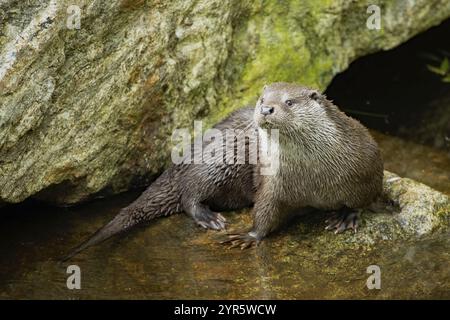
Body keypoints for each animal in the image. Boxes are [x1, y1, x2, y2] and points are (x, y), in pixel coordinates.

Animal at [65, 81, 384, 258]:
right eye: (262, 99)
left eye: (289, 101)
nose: (266, 109)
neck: (313, 177)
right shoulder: (273, 184)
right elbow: (264, 212)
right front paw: (248, 236)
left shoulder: (368, 166)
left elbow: (365, 198)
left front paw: (346, 215)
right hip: (220, 157)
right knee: (189, 193)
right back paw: (208, 217)